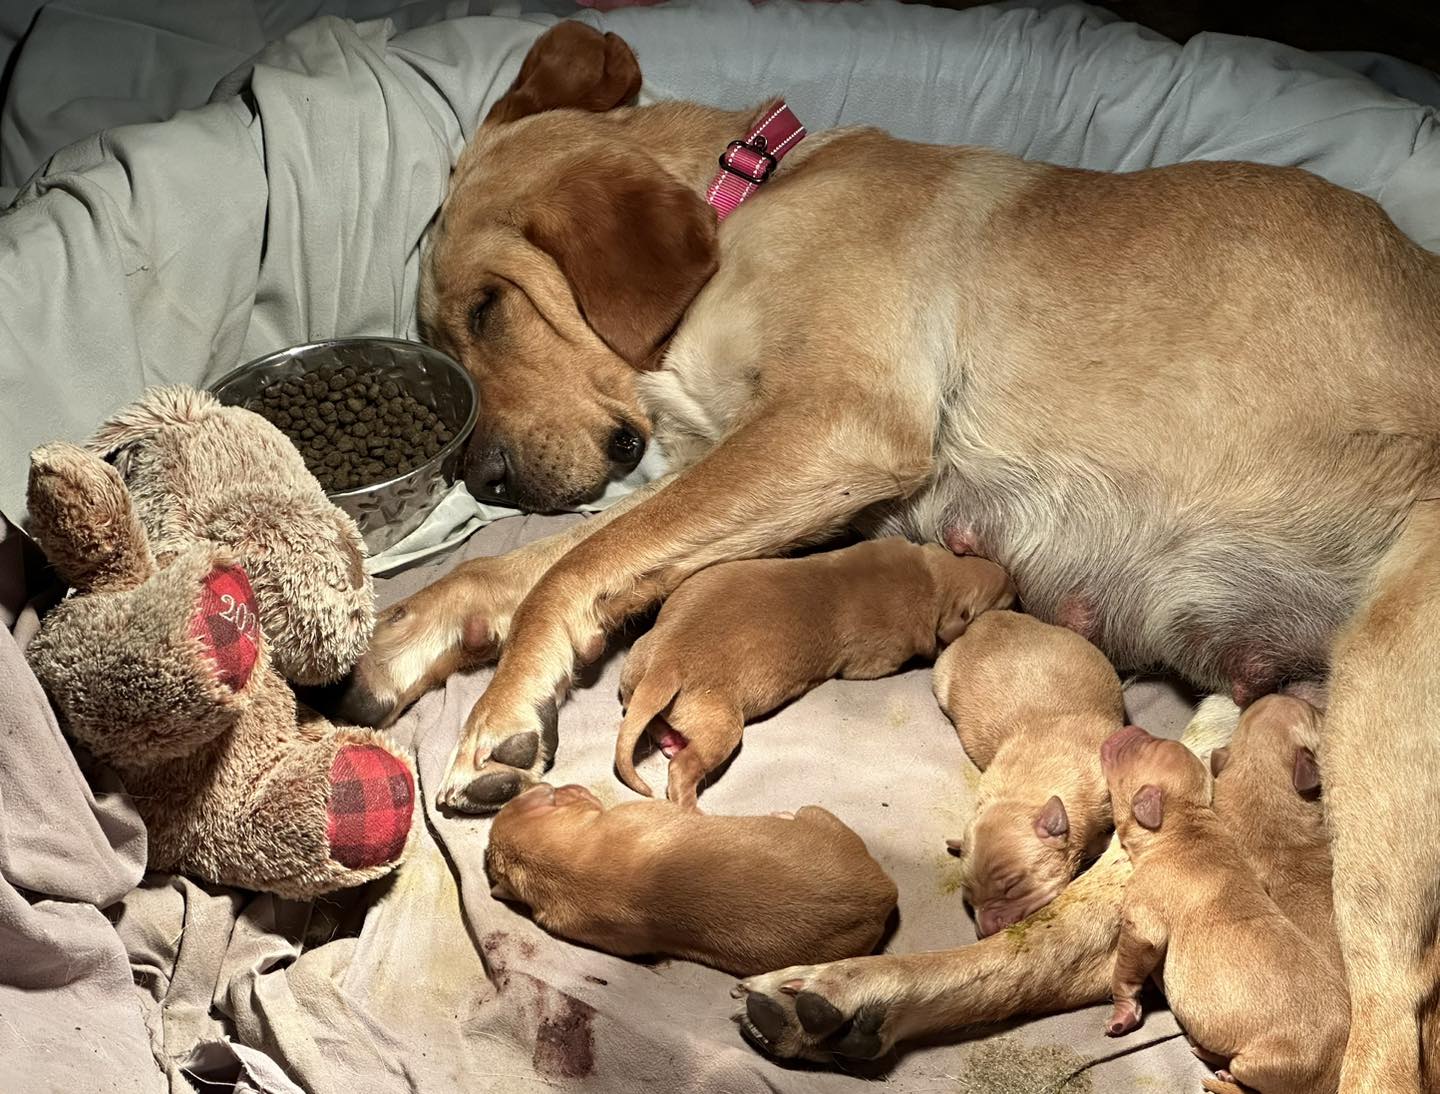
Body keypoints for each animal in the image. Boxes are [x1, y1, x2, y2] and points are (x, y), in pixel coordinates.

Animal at [610, 541, 1013, 811]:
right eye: (1002, 596)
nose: (1014, 580)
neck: (932, 579)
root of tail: (667, 664)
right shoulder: (877, 658)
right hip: (721, 724)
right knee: (684, 768)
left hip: (637, 666)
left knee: (639, 713)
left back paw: (668, 739)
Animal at [1100, 725, 1347, 1094]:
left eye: (1134, 749)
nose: (1129, 729)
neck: (1186, 825)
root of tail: (1332, 1079)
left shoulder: (1142, 923)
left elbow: (1126, 970)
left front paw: (1122, 1013)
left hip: (1263, 1061)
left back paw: (1219, 1066)